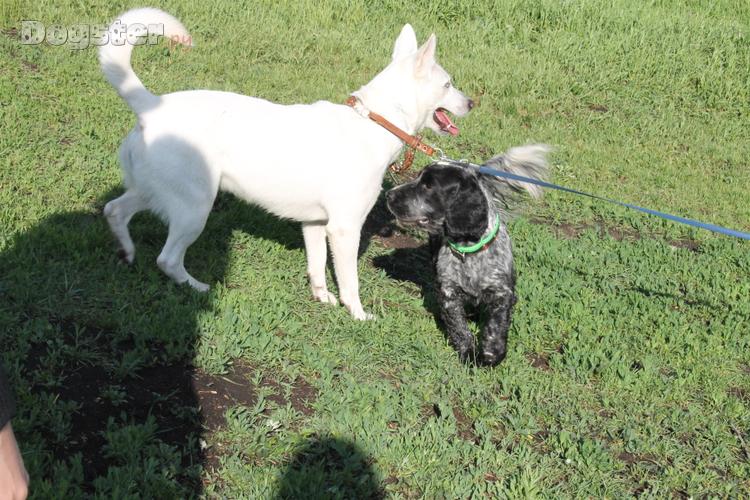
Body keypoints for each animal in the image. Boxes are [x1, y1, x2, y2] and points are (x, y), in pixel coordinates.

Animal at [99, 8, 472, 320]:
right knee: (167, 259)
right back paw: (196, 287)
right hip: (194, 209)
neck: (374, 121)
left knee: (114, 211)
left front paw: (321, 297)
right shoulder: (344, 229)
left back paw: (126, 252)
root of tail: (150, 105)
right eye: (448, 84)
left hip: (153, 192)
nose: (471, 103)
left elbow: (317, 266)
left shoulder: (315, 225)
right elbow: (349, 282)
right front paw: (357, 314)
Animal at [386, 145, 550, 365]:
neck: (469, 251)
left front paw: (491, 353)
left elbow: (496, 325)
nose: (389, 194)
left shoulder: (501, 292)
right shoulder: (449, 292)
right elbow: (459, 328)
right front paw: (468, 354)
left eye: (428, 186)